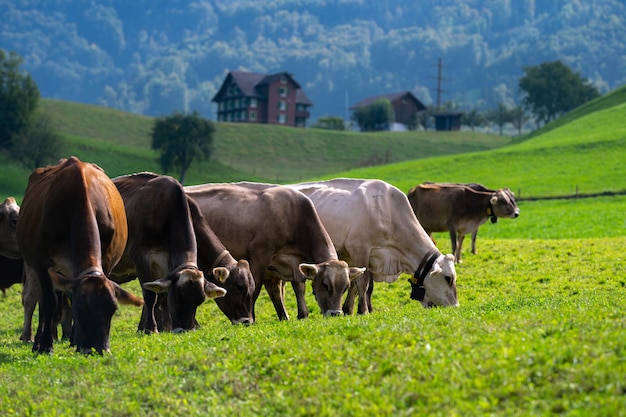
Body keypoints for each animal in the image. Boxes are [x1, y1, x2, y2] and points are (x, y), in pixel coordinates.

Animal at [15, 158, 143, 352]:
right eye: (81, 310)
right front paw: (46, 345)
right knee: (43, 302)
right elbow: (49, 302)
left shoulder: (106, 262)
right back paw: (37, 341)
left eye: (112, 310)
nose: (100, 349)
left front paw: (76, 341)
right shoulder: (43, 264)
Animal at [183, 180, 364, 320]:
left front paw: (301, 315)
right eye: (325, 285)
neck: (293, 214)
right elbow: (255, 288)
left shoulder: (292, 262)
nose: (336, 313)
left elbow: (297, 288)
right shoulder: (260, 255)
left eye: (346, 287)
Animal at [288, 177, 458, 314]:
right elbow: (362, 283)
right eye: (448, 278)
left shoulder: (369, 257)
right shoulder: (359, 249)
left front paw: (352, 309)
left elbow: (362, 286)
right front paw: (363, 311)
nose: (455, 306)